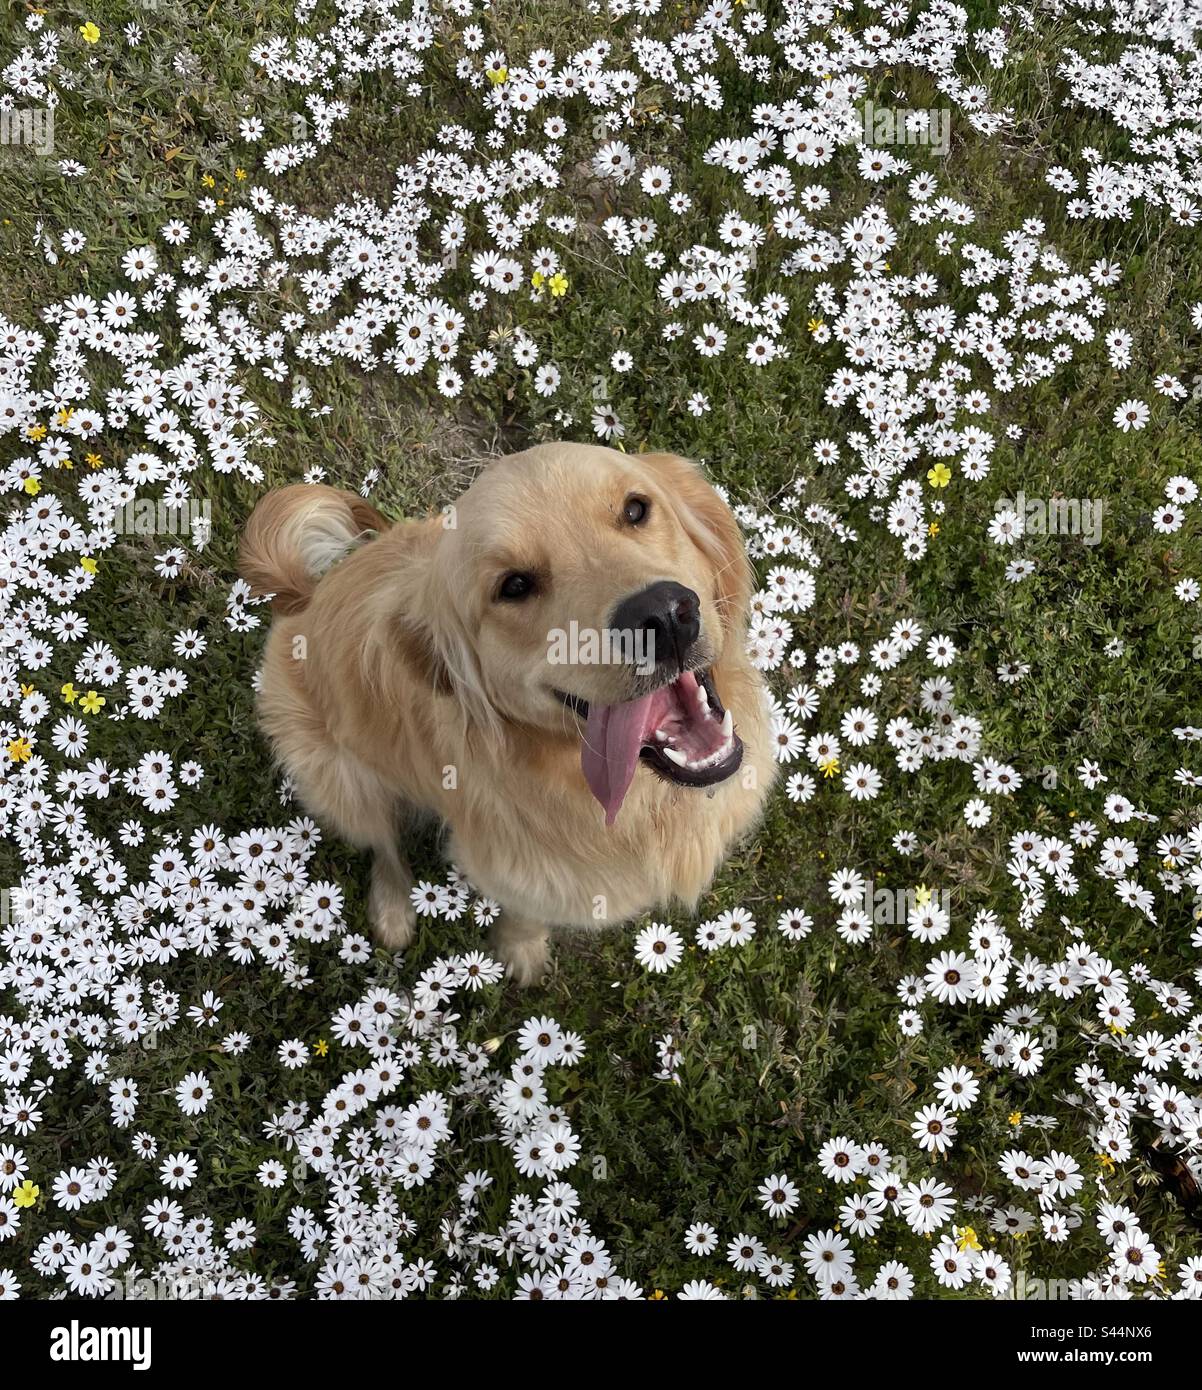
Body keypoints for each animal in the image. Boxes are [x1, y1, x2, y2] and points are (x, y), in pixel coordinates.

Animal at [239, 442, 772, 978]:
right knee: (383, 844)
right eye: (514, 586)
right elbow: (523, 913)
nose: (663, 616)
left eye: (636, 509)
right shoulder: (512, 871)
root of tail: (302, 599)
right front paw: (521, 951)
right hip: (343, 781)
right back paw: (393, 910)